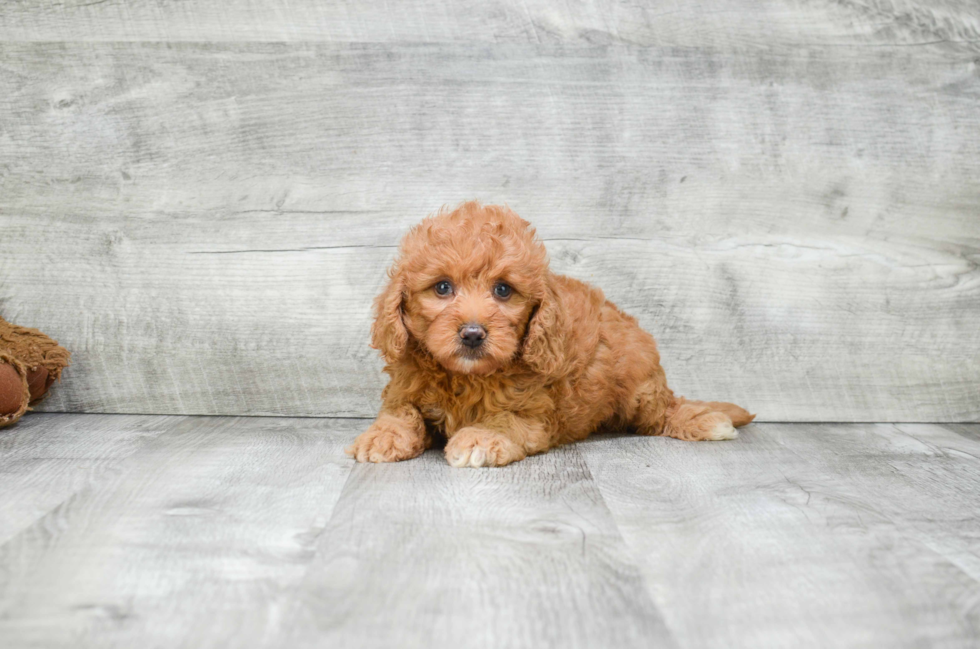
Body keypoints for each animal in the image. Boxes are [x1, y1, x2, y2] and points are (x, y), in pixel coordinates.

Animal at [348, 201, 756, 466]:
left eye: (503, 290)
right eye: (442, 288)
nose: (473, 334)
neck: (465, 377)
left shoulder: (534, 414)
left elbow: (504, 420)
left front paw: (480, 438)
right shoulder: (406, 386)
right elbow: (402, 413)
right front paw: (382, 435)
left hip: (639, 389)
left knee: (664, 413)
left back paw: (706, 421)